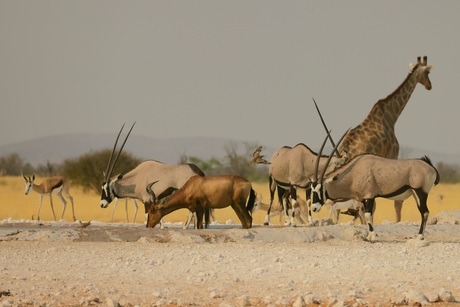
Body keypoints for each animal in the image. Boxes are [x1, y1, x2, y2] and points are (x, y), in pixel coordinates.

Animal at [338, 56, 432, 224]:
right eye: (427, 73)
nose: (430, 86)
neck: (392, 115)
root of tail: (345, 147)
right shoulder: (393, 153)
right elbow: (395, 200)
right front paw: (397, 222)